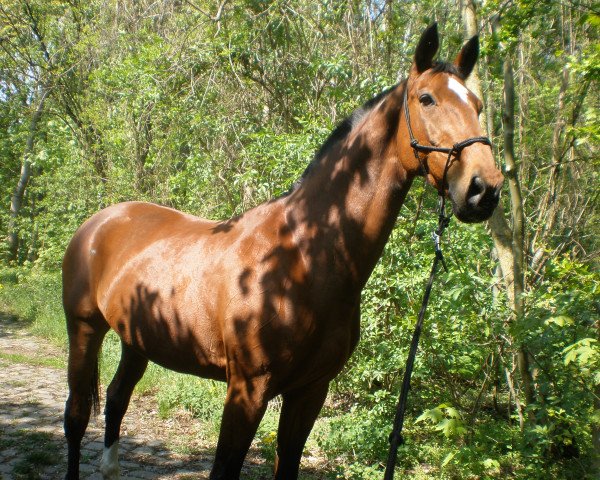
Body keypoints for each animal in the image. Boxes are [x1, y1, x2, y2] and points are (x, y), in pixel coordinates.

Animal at [63, 24, 504, 478]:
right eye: (426, 98)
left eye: (477, 104)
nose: (484, 189)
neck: (304, 258)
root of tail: (101, 222)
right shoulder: (248, 390)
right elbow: (224, 467)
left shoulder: (310, 391)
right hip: (84, 328)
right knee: (77, 415)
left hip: (137, 340)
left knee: (116, 399)